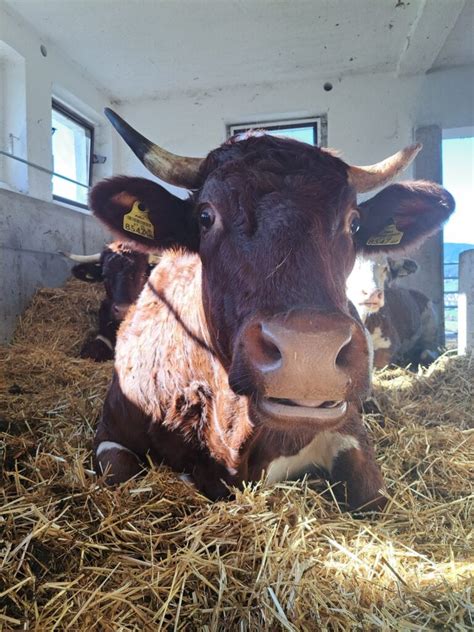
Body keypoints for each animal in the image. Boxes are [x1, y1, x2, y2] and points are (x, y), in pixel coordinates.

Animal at [87, 108, 454, 512]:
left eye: (354, 222)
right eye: (205, 216)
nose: (309, 355)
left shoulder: (349, 434)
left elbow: (373, 496)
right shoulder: (112, 429)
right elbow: (119, 473)